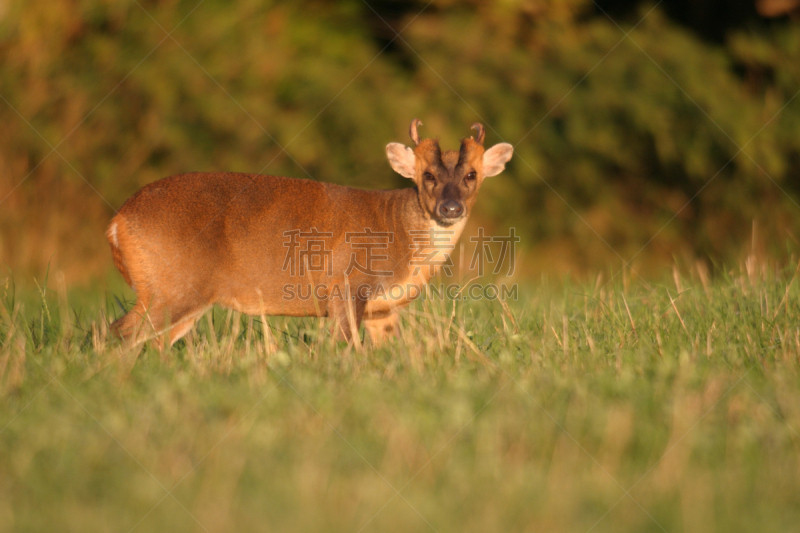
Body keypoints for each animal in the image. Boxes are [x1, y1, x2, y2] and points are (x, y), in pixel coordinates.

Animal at [106, 118, 512, 348]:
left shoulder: (382, 309)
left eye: (471, 175)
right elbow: (346, 348)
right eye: (427, 176)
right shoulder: (347, 285)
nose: (451, 208)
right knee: (124, 331)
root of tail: (117, 221)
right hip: (173, 285)